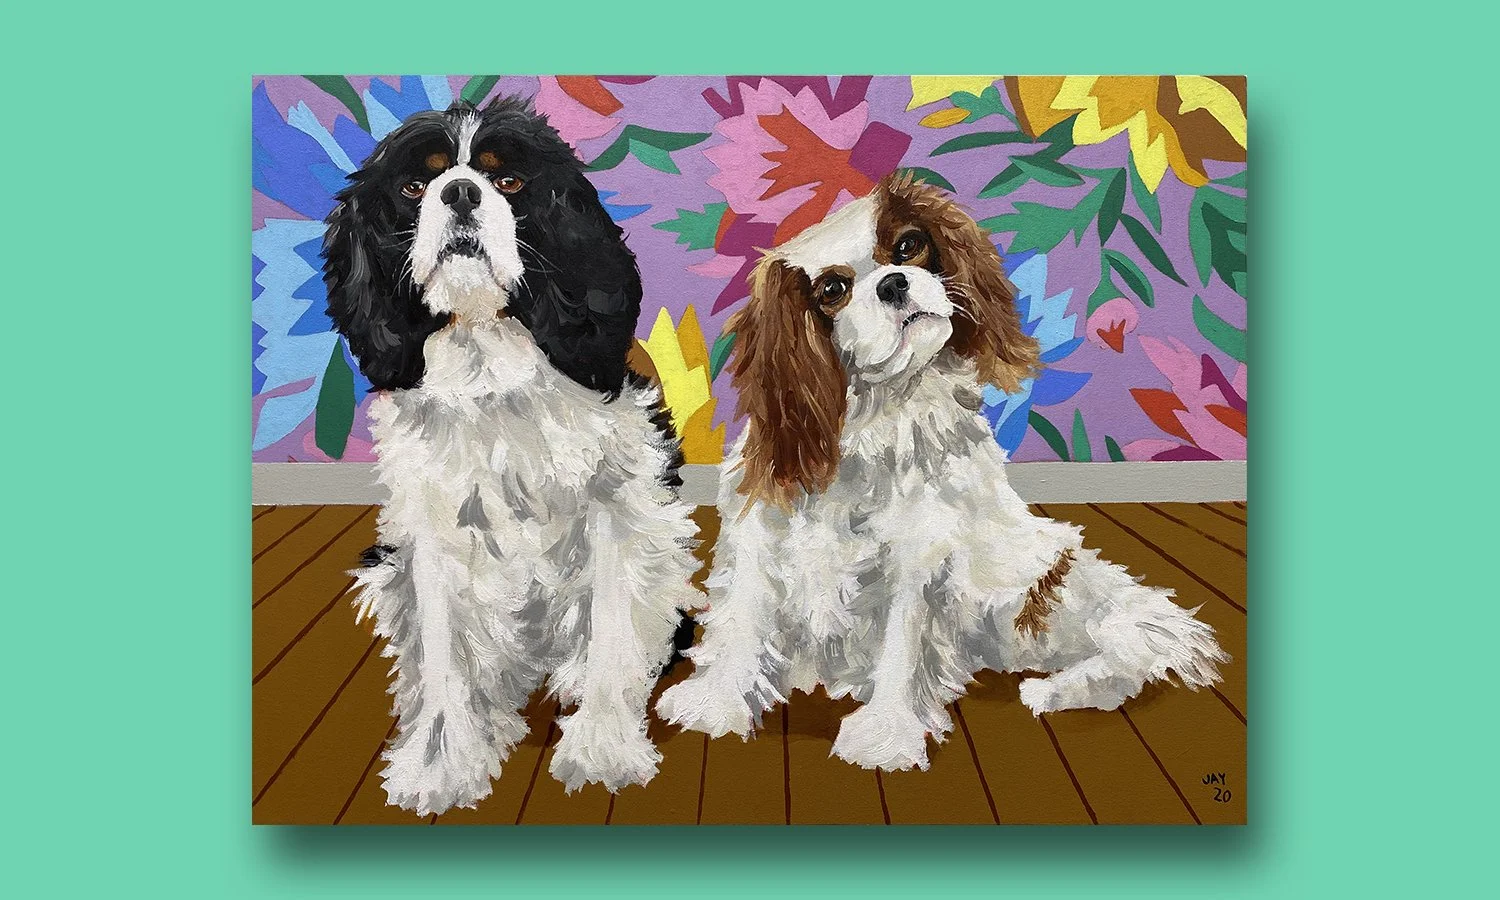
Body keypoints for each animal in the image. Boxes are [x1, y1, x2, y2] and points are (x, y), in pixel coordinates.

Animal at [321, 96, 701, 814]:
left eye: (509, 182)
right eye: (415, 187)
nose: (461, 192)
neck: (486, 357)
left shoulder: (618, 510)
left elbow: (612, 633)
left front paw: (603, 750)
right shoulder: (431, 534)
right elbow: (443, 658)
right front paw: (441, 765)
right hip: (387, 571)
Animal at [656, 172, 1227, 772]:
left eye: (909, 246)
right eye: (832, 291)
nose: (894, 284)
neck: (881, 415)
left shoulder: (920, 556)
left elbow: (902, 648)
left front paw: (883, 736)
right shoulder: (761, 536)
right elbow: (742, 617)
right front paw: (715, 703)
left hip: (1048, 588)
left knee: (1134, 643)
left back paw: (1051, 689)